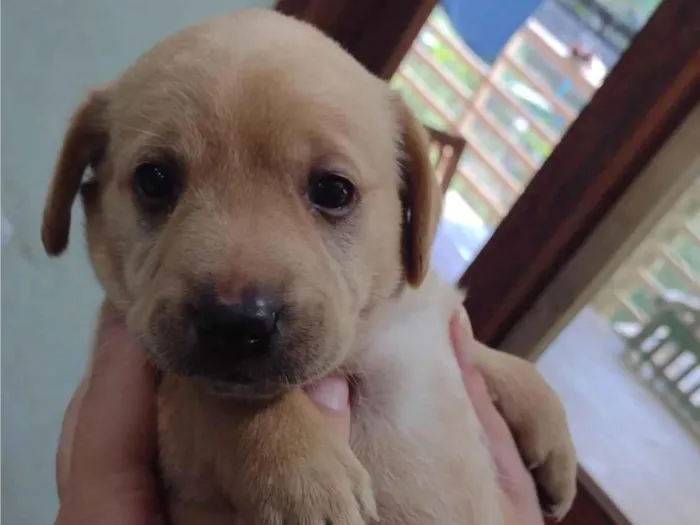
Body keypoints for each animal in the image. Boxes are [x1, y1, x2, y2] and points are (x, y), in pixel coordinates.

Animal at [42, 9, 576, 524]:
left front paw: (551, 429)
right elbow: (216, 396)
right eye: (153, 180)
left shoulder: (425, 319)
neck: (366, 342)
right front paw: (304, 473)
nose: (236, 325)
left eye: (333, 190)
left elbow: (477, 345)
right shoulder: (166, 407)